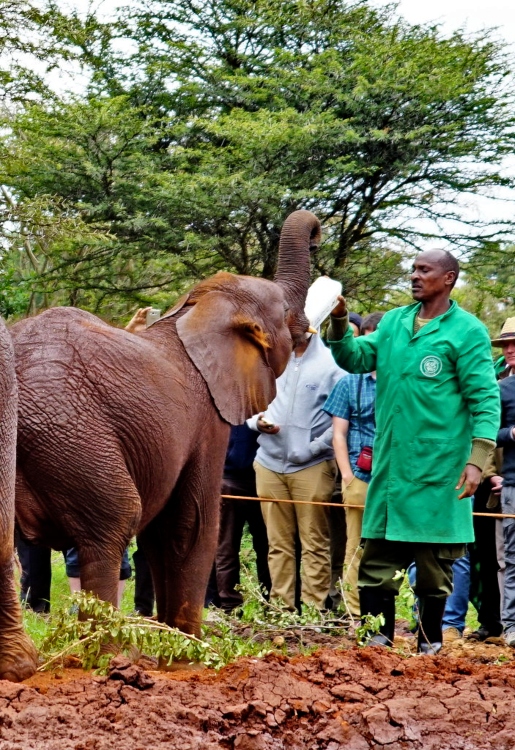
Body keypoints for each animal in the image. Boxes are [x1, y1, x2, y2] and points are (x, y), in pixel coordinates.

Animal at [10, 212, 320, 640]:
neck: (194, 312)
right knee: (112, 526)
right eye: (284, 312)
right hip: (69, 433)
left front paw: (170, 636)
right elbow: (190, 527)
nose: (317, 238)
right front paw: (190, 645)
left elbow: (159, 534)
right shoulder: (208, 419)